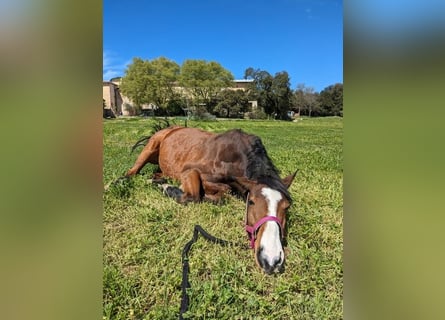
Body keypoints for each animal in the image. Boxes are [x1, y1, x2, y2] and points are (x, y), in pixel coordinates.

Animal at [122, 125, 294, 276]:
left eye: (286, 207)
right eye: (251, 202)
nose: (272, 260)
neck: (231, 157)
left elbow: (223, 192)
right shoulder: (189, 171)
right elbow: (197, 195)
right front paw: (168, 188)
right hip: (149, 150)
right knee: (131, 172)